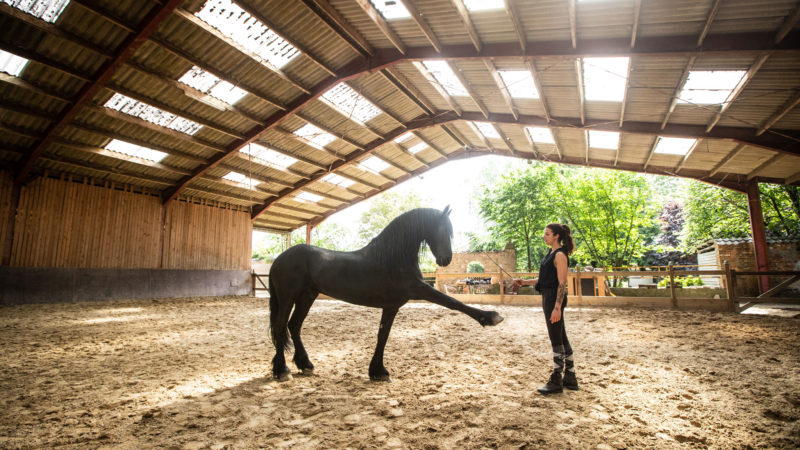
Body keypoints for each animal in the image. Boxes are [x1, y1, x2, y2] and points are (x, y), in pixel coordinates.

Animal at [270, 206, 506, 382]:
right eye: (443, 229)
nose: (446, 259)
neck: (392, 259)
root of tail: (279, 259)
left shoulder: (391, 306)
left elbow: (382, 336)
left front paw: (377, 371)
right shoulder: (419, 290)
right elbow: (452, 302)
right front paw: (490, 317)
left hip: (306, 297)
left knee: (294, 326)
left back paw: (305, 365)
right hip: (288, 297)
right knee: (281, 327)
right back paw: (282, 371)